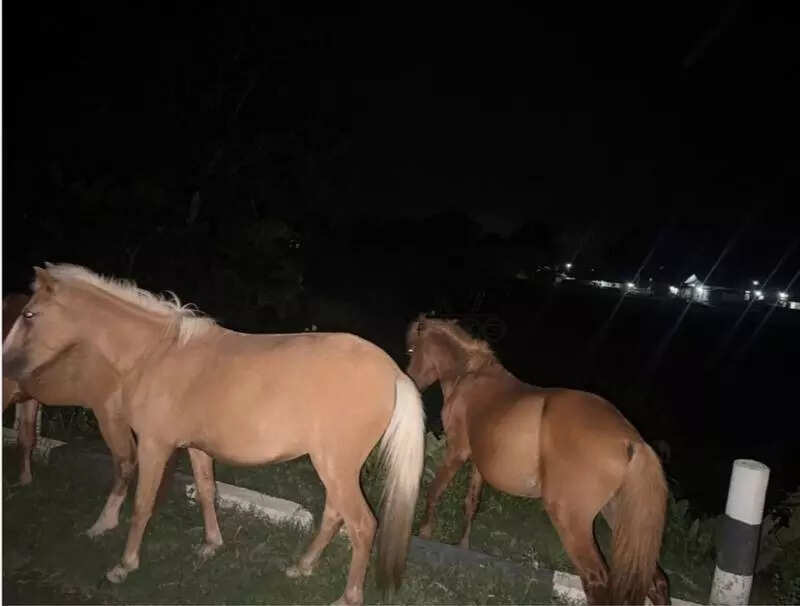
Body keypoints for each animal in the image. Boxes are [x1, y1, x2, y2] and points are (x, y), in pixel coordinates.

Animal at [3, 264, 425, 606]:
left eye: (29, 314)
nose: (6, 366)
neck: (156, 354)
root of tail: (392, 371)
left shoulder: (154, 445)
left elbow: (142, 504)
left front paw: (124, 565)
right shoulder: (196, 447)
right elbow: (207, 491)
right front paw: (210, 545)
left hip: (335, 466)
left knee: (362, 525)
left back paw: (347, 596)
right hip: (334, 468)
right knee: (336, 515)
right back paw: (303, 567)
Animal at [405, 315, 670, 605]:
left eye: (411, 349)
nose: (410, 384)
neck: (470, 374)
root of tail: (632, 440)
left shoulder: (456, 450)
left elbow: (435, 490)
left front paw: (425, 531)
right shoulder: (478, 462)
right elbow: (471, 503)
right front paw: (463, 546)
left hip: (571, 521)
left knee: (597, 581)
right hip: (619, 519)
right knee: (657, 582)